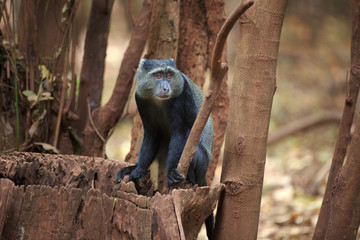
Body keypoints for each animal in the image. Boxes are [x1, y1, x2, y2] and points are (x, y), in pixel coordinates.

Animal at [116, 58, 214, 240]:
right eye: (159, 75)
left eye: (169, 76)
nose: (165, 88)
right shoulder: (141, 99)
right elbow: (152, 134)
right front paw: (138, 170)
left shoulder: (183, 95)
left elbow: (182, 131)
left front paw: (171, 172)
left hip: (202, 161)